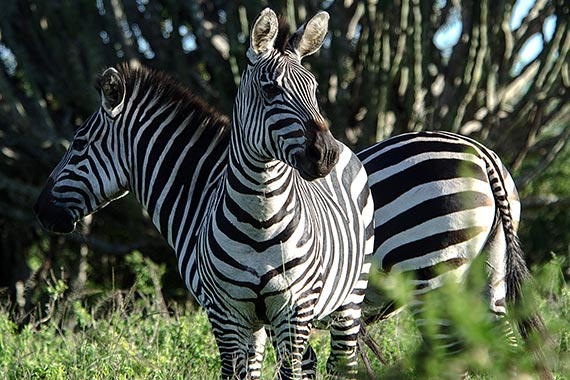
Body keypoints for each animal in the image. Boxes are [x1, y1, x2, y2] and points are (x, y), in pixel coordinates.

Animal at [34, 8, 372, 380]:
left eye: (78, 143)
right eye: (270, 89)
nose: (325, 155)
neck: (261, 214)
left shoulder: (292, 312)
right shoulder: (228, 314)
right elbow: (239, 371)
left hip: (350, 298)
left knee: (342, 361)